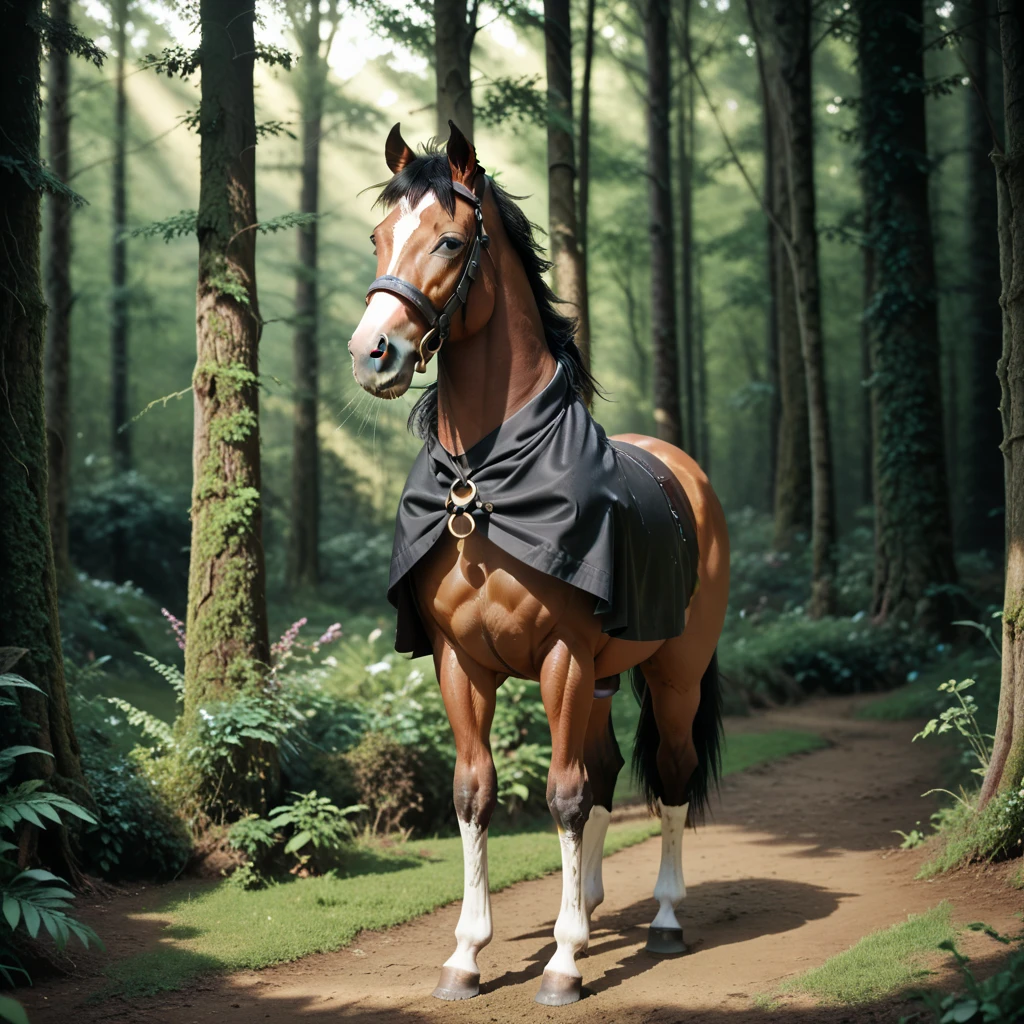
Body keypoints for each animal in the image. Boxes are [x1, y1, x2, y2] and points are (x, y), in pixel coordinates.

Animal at [348, 121, 733, 1007]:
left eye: (450, 240)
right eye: (380, 236)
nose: (372, 353)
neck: (483, 483)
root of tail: (686, 475)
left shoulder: (563, 657)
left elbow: (560, 795)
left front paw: (560, 965)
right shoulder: (461, 663)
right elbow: (476, 792)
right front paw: (468, 953)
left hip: (672, 673)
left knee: (664, 775)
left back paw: (663, 919)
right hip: (603, 678)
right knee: (606, 772)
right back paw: (587, 907)